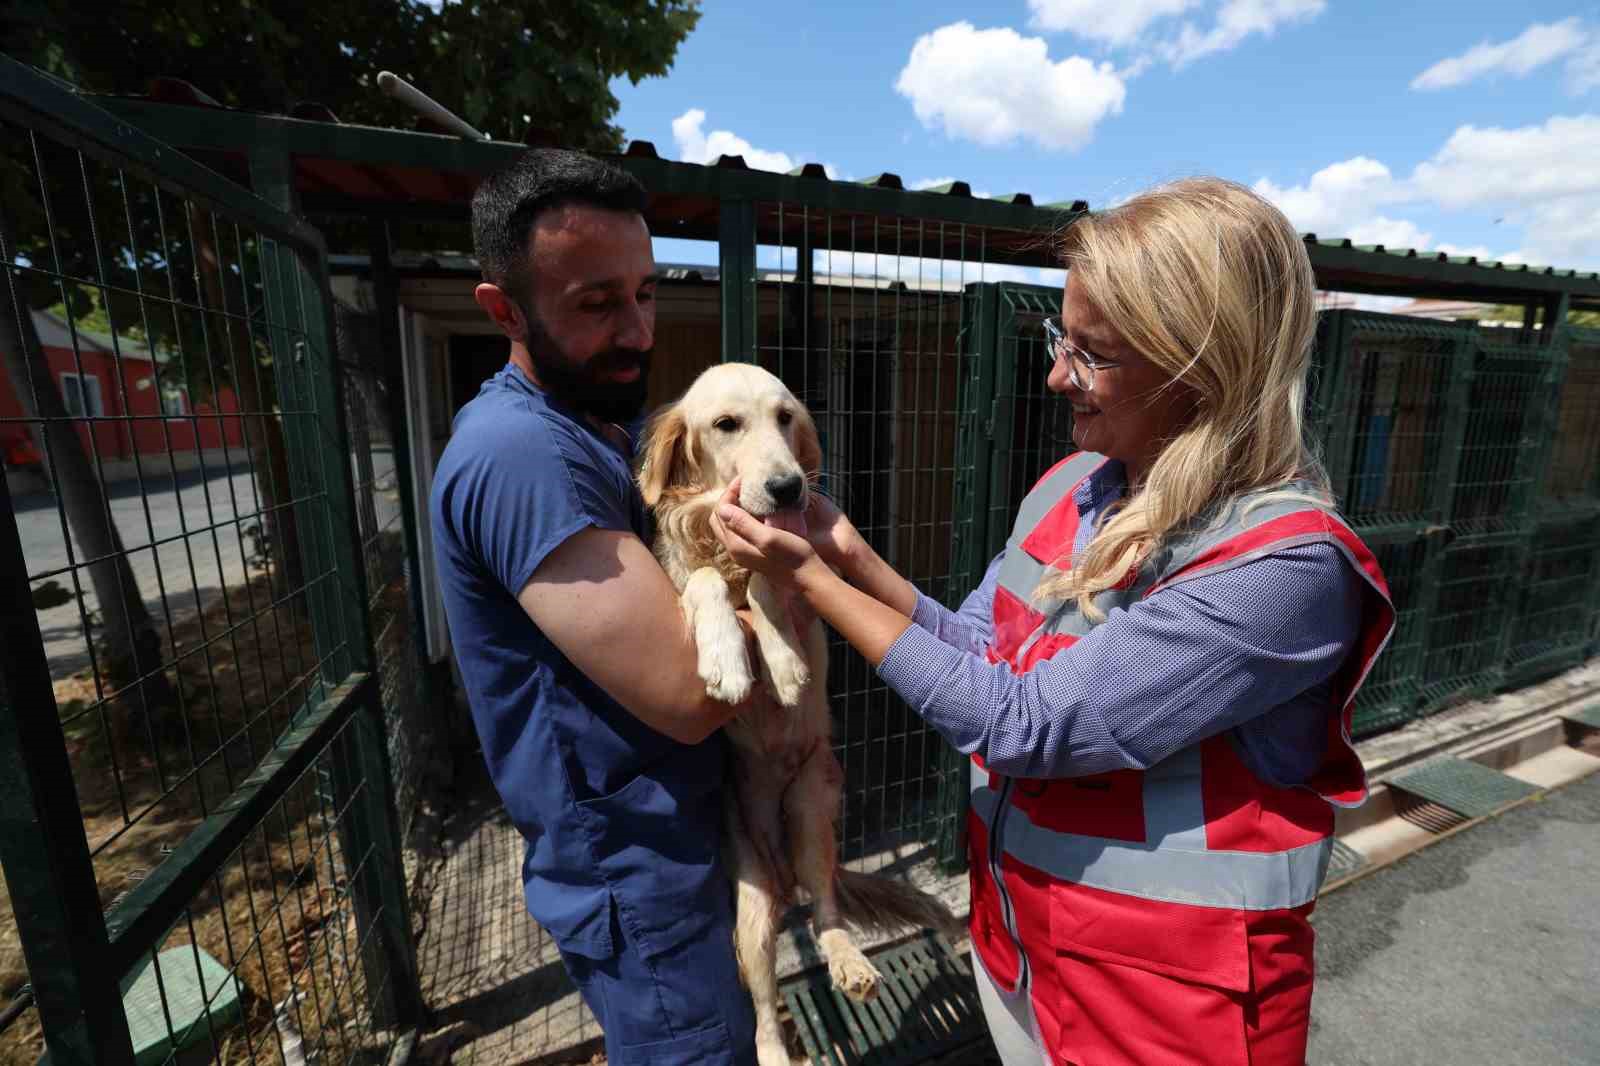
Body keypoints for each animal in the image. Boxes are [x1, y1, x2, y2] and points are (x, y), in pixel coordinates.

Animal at [636, 361, 960, 1056]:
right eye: (726, 424)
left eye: (786, 418)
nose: (787, 488)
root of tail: (782, 873)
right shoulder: (679, 586)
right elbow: (705, 582)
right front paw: (730, 661)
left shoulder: (796, 579)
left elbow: (771, 580)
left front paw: (783, 665)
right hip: (752, 909)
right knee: (763, 1007)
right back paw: (775, 1051)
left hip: (813, 809)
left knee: (826, 910)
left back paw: (850, 962)